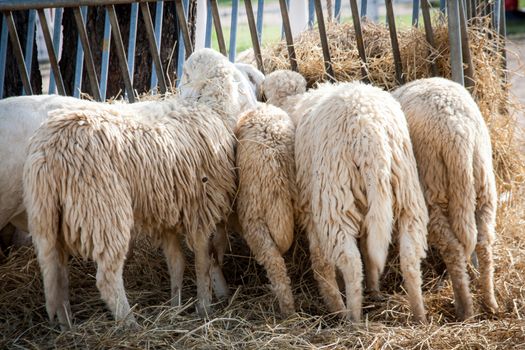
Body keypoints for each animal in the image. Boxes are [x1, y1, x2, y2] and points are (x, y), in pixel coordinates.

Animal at [23, 48, 253, 328]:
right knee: (107, 277)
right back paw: (129, 322)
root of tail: (50, 150)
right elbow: (202, 260)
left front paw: (176, 305)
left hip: (45, 217)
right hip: (102, 211)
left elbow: (176, 262)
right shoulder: (200, 209)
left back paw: (66, 324)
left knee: (54, 274)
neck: (207, 107)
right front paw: (204, 307)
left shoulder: (167, 214)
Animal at [264, 70, 428, 322]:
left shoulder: (311, 210)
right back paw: (419, 315)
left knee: (350, 261)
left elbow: (322, 262)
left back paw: (352, 317)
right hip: (406, 191)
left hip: (334, 198)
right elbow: (368, 250)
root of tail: (368, 132)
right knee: (410, 255)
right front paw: (373, 288)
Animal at [390, 78, 498, 322]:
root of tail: (458, 132)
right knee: (484, 244)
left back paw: (465, 309)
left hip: (432, 188)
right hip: (484, 185)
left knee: (453, 249)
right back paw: (490, 303)